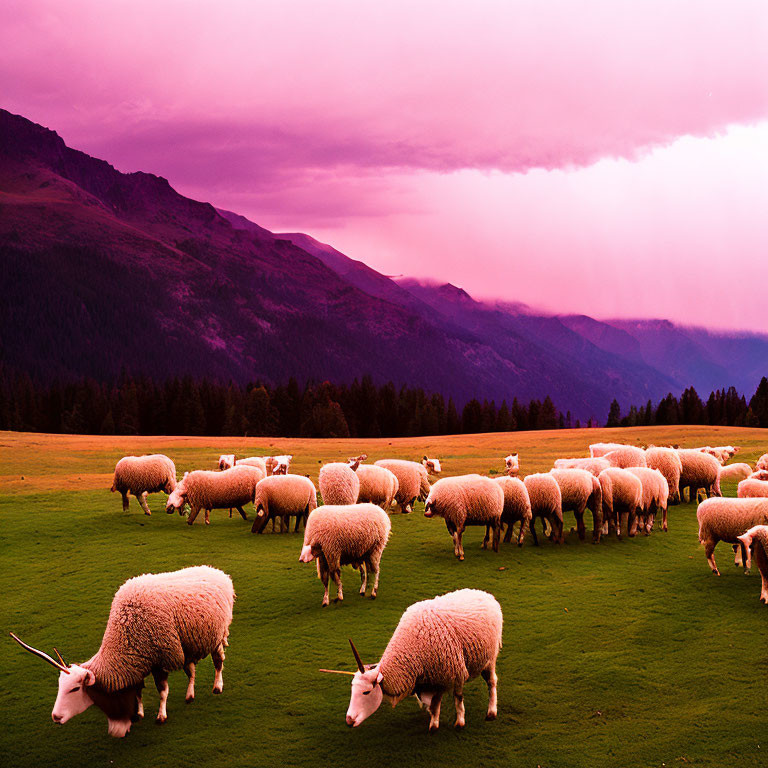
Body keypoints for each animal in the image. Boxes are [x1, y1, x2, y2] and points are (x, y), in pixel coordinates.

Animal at [9, 564, 234, 736]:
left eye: (75, 689)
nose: (55, 717)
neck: (123, 638)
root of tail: (218, 572)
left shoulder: (159, 660)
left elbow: (162, 691)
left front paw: (161, 716)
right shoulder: (138, 662)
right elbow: (138, 691)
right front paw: (139, 714)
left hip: (217, 635)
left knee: (218, 661)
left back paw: (217, 686)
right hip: (188, 645)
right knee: (191, 670)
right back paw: (190, 695)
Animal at [342, 588, 504, 732]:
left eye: (366, 692)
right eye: (352, 689)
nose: (349, 720)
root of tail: (485, 594)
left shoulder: (452, 672)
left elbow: (455, 698)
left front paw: (456, 723)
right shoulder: (433, 678)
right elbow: (433, 702)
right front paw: (433, 720)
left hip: (489, 658)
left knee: (492, 682)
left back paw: (491, 712)